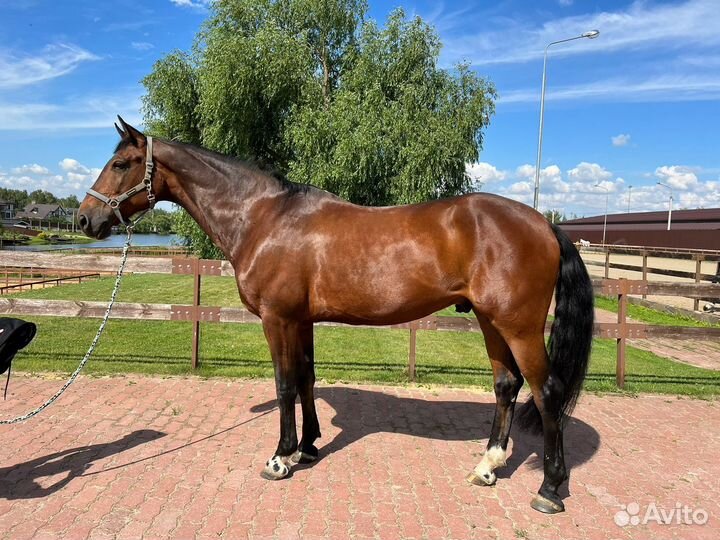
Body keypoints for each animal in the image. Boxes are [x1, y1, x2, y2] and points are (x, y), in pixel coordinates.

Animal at [78, 118, 594, 514]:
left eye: (120, 164)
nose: (84, 220)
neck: (264, 218)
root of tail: (544, 224)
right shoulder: (302, 320)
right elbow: (307, 377)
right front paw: (308, 447)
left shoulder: (277, 319)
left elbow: (285, 384)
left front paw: (280, 458)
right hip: (491, 321)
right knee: (506, 385)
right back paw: (487, 467)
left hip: (519, 326)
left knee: (547, 393)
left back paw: (549, 489)